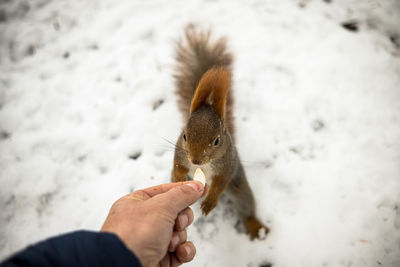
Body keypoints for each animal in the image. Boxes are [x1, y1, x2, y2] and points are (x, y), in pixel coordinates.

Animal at [170, 24, 268, 240]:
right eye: (184, 135)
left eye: (217, 141)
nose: (196, 160)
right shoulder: (180, 153)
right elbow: (178, 166)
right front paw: (178, 179)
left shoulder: (227, 166)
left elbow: (220, 183)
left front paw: (209, 203)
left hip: (239, 188)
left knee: (246, 207)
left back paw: (256, 227)